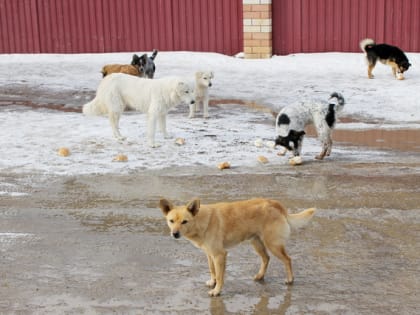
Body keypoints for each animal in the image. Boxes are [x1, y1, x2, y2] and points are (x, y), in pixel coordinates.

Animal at [161, 199, 316, 298]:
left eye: (184, 222)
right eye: (171, 221)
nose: (175, 234)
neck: (201, 221)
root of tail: (275, 204)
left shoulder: (219, 255)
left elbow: (220, 275)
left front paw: (217, 291)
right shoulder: (210, 254)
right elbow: (212, 270)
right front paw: (213, 282)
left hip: (273, 244)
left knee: (287, 259)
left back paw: (290, 279)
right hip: (256, 243)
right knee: (266, 258)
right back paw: (260, 276)